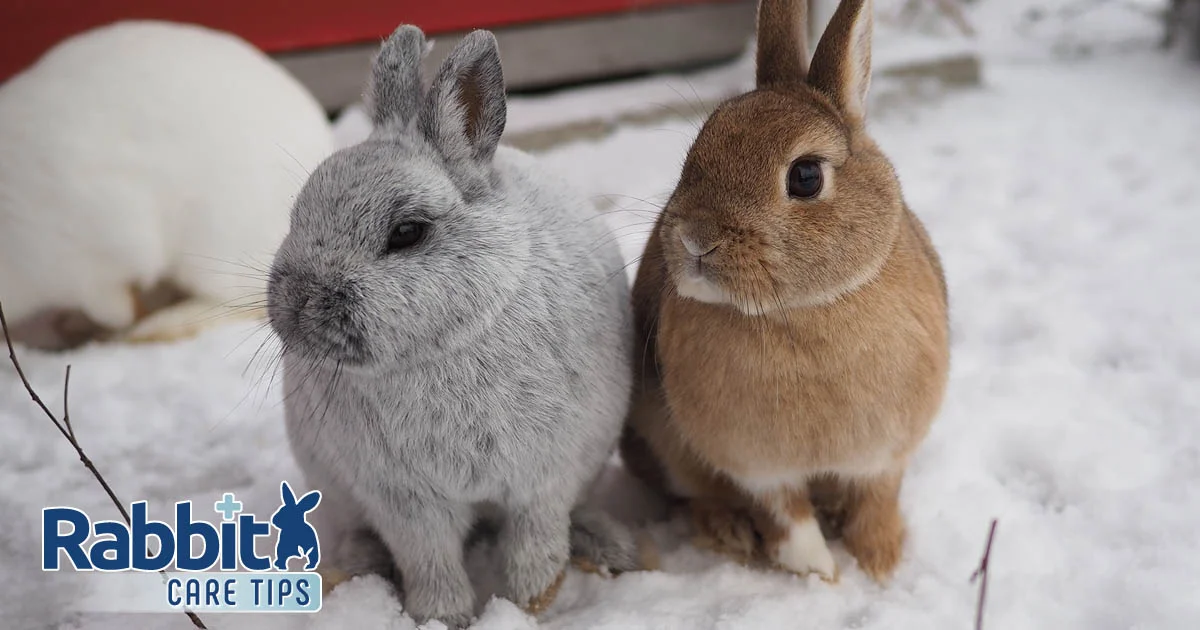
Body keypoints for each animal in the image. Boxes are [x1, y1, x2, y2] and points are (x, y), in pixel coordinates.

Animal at [0, 20, 334, 349]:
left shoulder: (97, 255)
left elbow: (115, 305)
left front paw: (124, 325)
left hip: (217, 247)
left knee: (238, 302)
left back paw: (153, 328)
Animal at [266, 25, 637, 627]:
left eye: (407, 232)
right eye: (298, 214)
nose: (297, 308)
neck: (442, 347)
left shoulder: (544, 477)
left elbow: (535, 542)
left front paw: (530, 605)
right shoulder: (405, 502)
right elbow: (430, 560)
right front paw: (443, 618)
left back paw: (608, 545)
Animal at [619, 0, 950, 583]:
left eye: (806, 177)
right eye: (697, 149)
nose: (695, 238)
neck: (805, 309)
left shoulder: (886, 453)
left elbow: (878, 497)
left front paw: (880, 562)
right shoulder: (754, 462)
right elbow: (786, 516)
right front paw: (822, 574)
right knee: (694, 496)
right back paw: (729, 532)